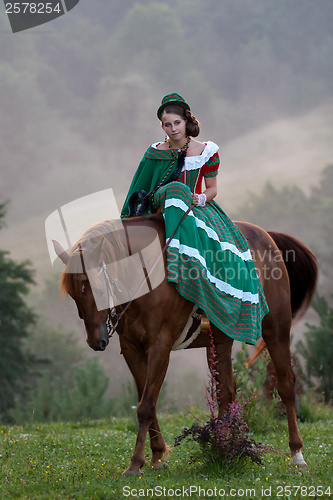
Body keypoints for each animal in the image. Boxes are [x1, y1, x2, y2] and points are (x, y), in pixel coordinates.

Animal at [53, 212, 316, 476]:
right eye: (74, 294)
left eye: (96, 287)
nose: (96, 341)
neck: (144, 273)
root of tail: (266, 236)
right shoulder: (132, 349)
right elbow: (147, 401)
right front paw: (157, 456)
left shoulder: (160, 345)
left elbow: (146, 405)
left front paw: (135, 463)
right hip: (220, 341)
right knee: (226, 392)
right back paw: (224, 447)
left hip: (276, 330)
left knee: (285, 386)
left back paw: (296, 455)